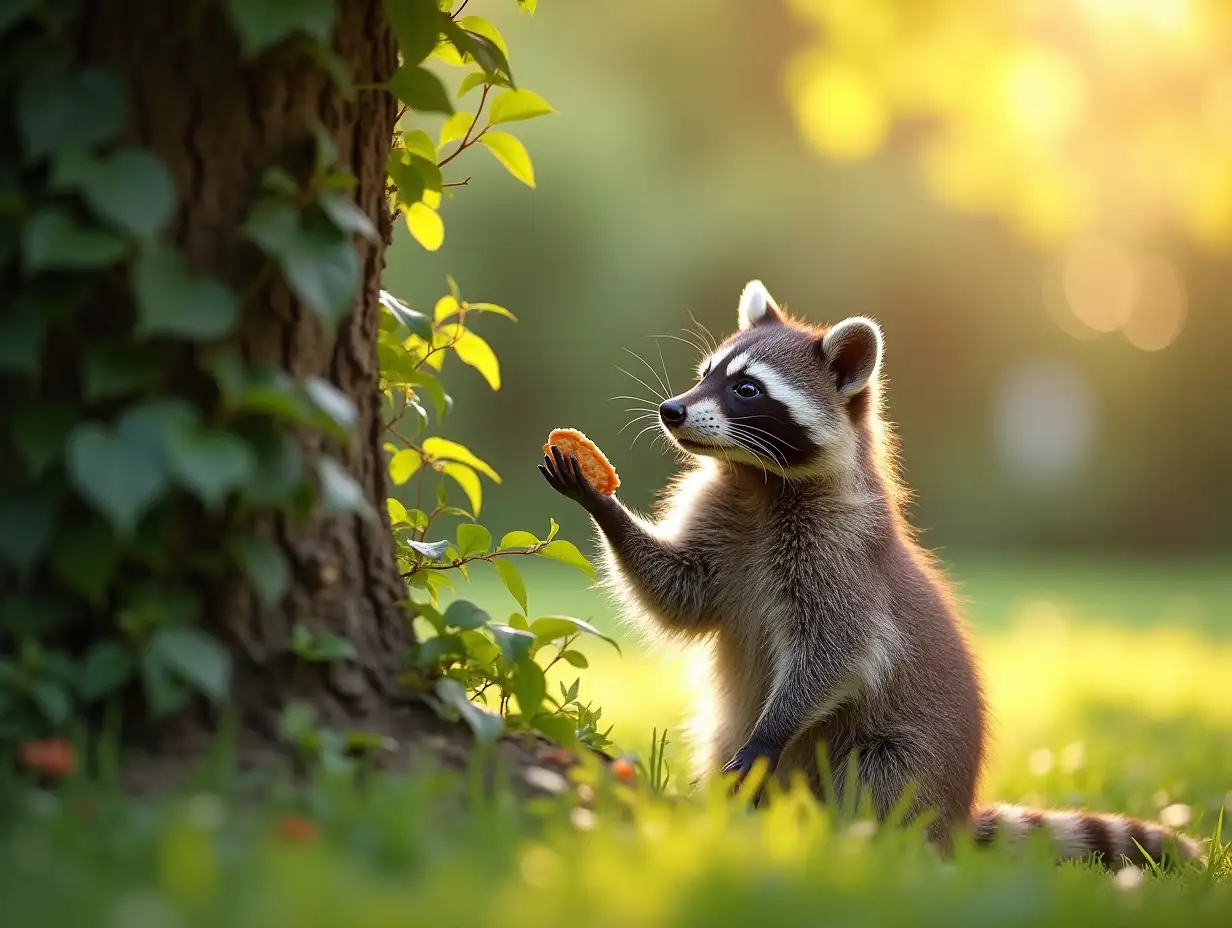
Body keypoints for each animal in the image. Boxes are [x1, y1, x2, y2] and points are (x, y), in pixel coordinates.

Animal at [544, 277, 1207, 867]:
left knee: (871, 784)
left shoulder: (841, 558)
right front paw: (604, 507)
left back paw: (859, 845)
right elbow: (680, 590)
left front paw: (771, 730)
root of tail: (953, 818)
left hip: (902, 754)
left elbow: (837, 650)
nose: (671, 410)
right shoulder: (725, 517)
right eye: (707, 372)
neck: (758, 481)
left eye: (748, 389)